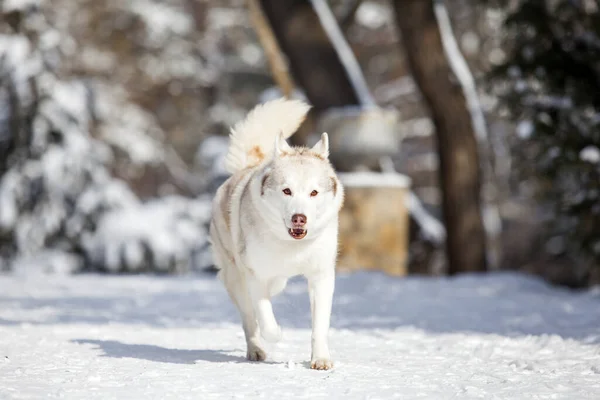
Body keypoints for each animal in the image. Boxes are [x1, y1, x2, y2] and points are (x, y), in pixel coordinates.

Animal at [210, 97, 342, 372]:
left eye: (314, 192)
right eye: (286, 191)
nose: (299, 218)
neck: (290, 246)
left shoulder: (321, 276)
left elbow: (320, 325)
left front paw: (321, 359)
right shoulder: (255, 275)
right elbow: (265, 319)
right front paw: (277, 334)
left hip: (277, 281)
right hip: (235, 277)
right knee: (249, 318)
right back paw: (256, 350)